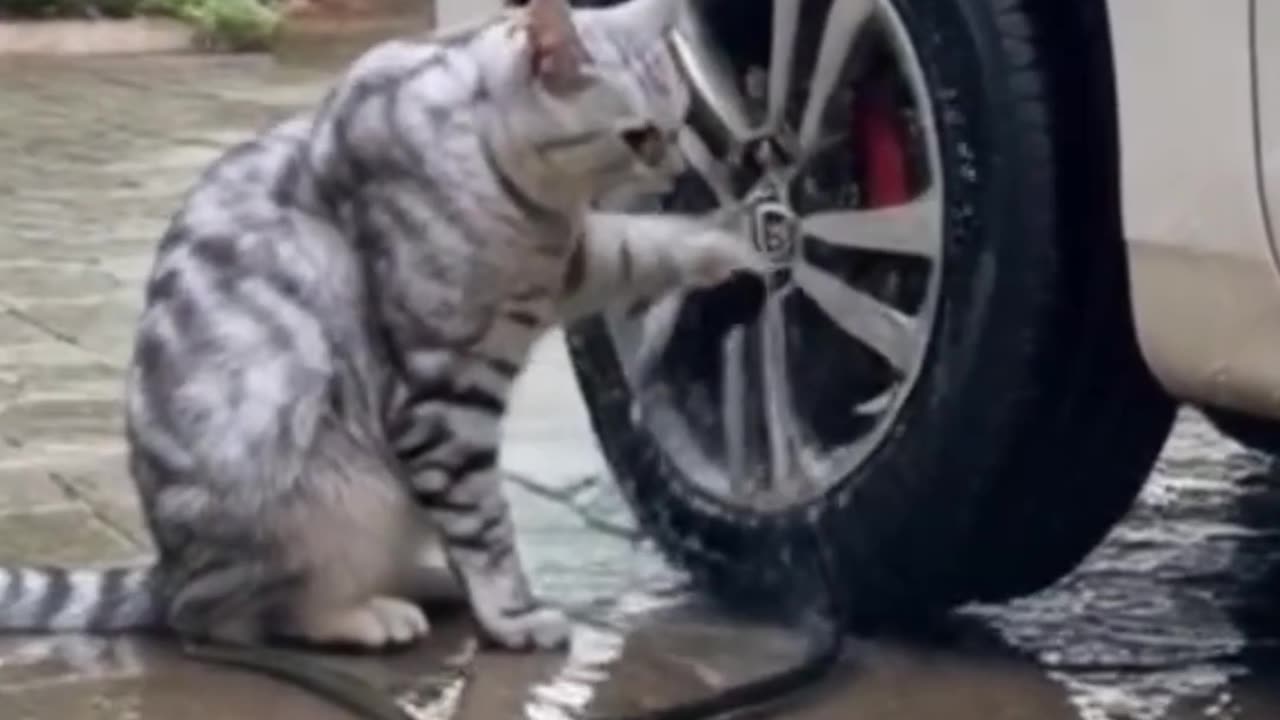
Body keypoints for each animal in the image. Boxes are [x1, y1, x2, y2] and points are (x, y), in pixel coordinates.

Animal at [0, 0, 757, 650]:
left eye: (680, 120)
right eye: (640, 136)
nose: (680, 166)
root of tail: (166, 568)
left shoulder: (572, 261)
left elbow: (644, 245)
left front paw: (736, 238)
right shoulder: (444, 396)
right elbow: (484, 524)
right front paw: (512, 616)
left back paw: (425, 583)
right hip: (322, 493)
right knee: (234, 616)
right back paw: (370, 615)